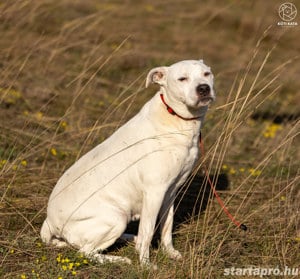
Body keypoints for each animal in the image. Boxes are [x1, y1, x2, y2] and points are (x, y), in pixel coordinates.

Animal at [41, 59, 216, 266]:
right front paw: (146, 264)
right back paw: (118, 259)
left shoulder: (170, 192)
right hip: (116, 217)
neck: (176, 118)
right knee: (85, 252)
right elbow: (148, 231)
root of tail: (49, 223)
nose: (204, 88)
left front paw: (170, 253)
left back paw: (130, 238)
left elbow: (167, 226)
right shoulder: (154, 193)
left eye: (206, 74)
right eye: (182, 78)